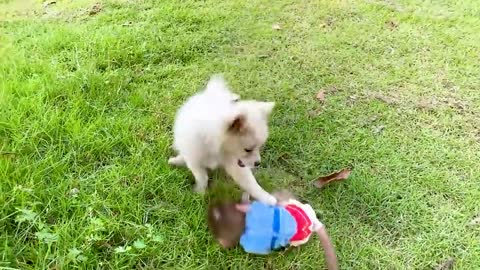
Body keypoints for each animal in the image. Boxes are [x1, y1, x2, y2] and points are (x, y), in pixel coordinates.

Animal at [170, 74, 278, 205]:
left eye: (259, 147)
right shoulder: (194, 158)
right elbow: (202, 176)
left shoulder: (235, 163)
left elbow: (250, 182)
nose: (258, 163)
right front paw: (199, 192)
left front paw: (266, 197)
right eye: (247, 150)